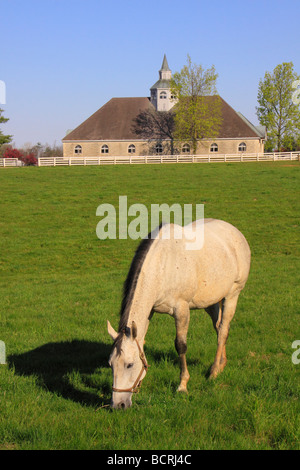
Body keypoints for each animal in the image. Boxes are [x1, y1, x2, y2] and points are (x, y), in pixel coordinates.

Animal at [108, 220, 251, 408]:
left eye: (129, 365)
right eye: (110, 365)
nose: (118, 405)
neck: (163, 264)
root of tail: (235, 231)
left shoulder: (181, 310)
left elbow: (181, 345)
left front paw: (182, 385)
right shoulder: (150, 311)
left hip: (233, 294)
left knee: (223, 331)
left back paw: (214, 372)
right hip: (211, 301)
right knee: (219, 327)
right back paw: (221, 364)